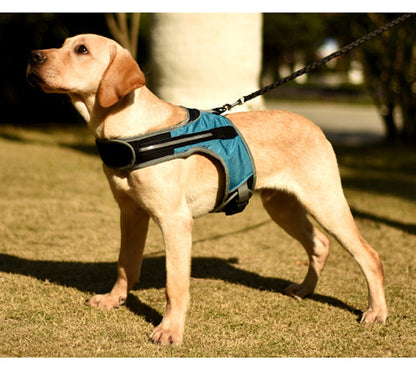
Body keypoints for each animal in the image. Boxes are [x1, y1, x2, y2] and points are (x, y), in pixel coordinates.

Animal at [26, 33, 386, 344]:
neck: (132, 131)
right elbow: (125, 263)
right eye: (63, 45)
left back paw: (376, 312)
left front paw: (170, 330)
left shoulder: (175, 221)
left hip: (324, 200)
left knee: (368, 255)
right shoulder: (131, 213)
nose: (32, 56)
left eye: (82, 50)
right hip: (282, 205)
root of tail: (315, 126)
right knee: (320, 244)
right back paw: (304, 289)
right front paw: (114, 299)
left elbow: (175, 284)